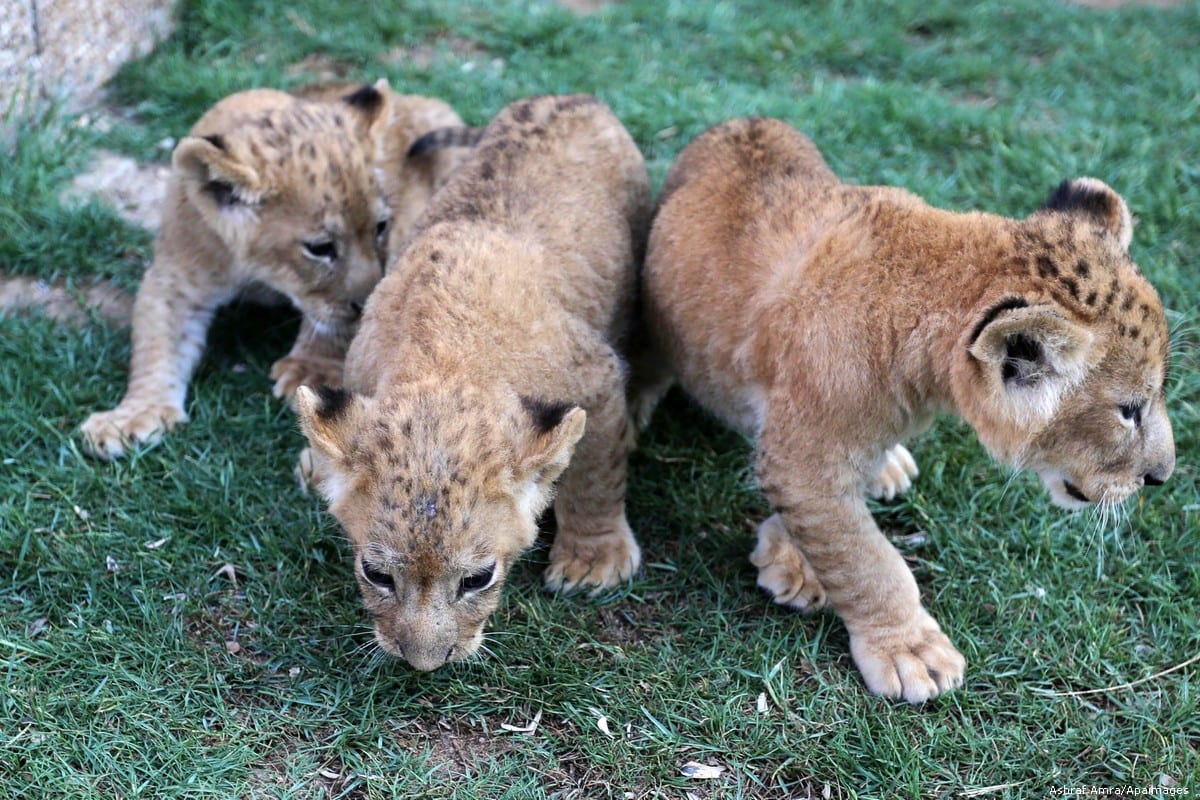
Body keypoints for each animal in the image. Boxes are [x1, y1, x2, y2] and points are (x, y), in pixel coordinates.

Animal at [80, 80, 468, 459]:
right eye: (320, 248)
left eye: (380, 227)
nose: (364, 305)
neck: (261, 273)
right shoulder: (175, 274)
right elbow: (156, 344)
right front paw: (132, 416)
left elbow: (334, 323)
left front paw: (309, 367)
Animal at [294, 94, 650, 672]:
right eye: (377, 574)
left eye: (477, 579)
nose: (424, 663)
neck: (444, 362)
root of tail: (568, 96)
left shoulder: (596, 377)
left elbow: (598, 474)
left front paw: (592, 559)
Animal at [640, 116, 1175, 703]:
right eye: (1129, 410)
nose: (1163, 476)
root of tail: (741, 120)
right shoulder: (801, 460)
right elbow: (865, 560)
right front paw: (908, 649)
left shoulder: (798, 457)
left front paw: (795, 553)